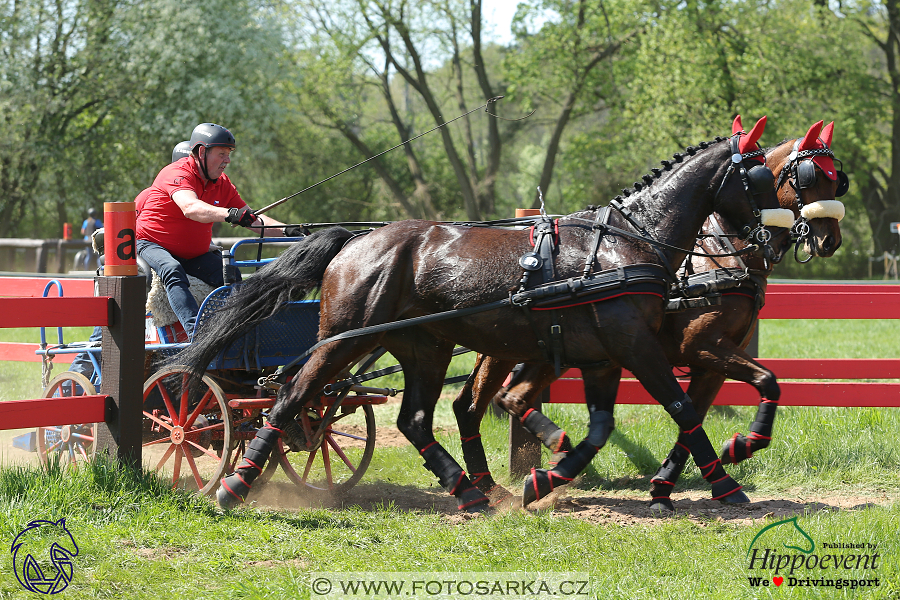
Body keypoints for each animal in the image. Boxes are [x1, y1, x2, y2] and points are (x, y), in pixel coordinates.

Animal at [178, 116, 788, 510]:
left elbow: (601, 429)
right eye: (761, 177)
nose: (773, 240)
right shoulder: (641, 348)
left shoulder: (605, 356)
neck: (627, 243)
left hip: (426, 347)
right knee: (290, 398)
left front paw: (546, 479)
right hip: (345, 339)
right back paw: (235, 485)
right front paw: (728, 482)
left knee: (414, 418)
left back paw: (469, 489)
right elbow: (684, 409)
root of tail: (355, 241)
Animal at [454, 118, 848, 510]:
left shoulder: (711, 361)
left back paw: (505, 479)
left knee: (489, 401)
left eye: (838, 180)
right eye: (810, 177)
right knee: (472, 405)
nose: (830, 241)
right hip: (505, 347)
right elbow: (761, 382)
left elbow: (695, 415)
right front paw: (738, 451)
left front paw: (666, 486)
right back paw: (490, 487)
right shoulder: (701, 346)